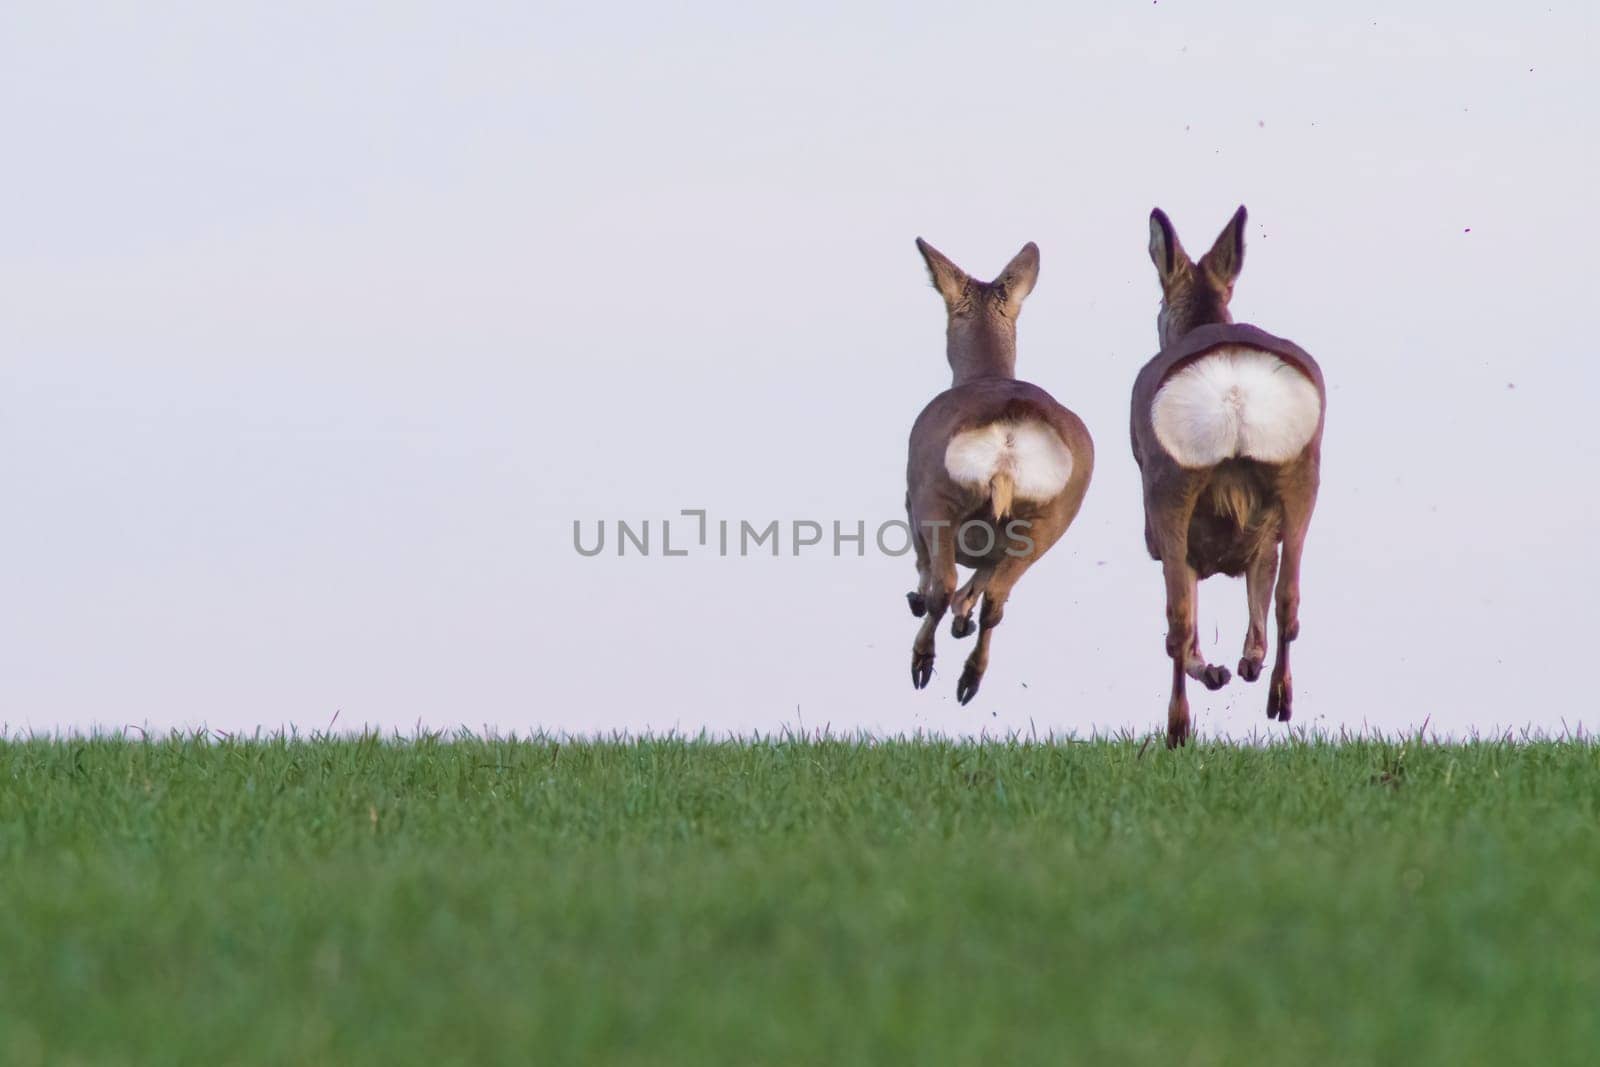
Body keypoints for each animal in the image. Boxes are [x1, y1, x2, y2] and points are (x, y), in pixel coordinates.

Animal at [908, 243, 1094, 710]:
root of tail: (1010, 436)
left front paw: (921, 601)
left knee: (944, 583)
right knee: (996, 597)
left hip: (938, 494)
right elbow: (981, 581)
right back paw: (968, 678)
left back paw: (922, 663)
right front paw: (962, 621)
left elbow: (926, 566)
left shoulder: (910, 499)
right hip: (1051, 519)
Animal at [1132, 204, 1331, 748]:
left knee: (1177, 620)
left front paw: (1220, 671)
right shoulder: (1262, 527)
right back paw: (1277, 698)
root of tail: (1235, 385)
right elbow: (1262, 582)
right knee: (1289, 597)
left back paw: (1179, 726)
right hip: (1302, 471)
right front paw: (1244, 664)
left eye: (1159, 303)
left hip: (1169, 483)